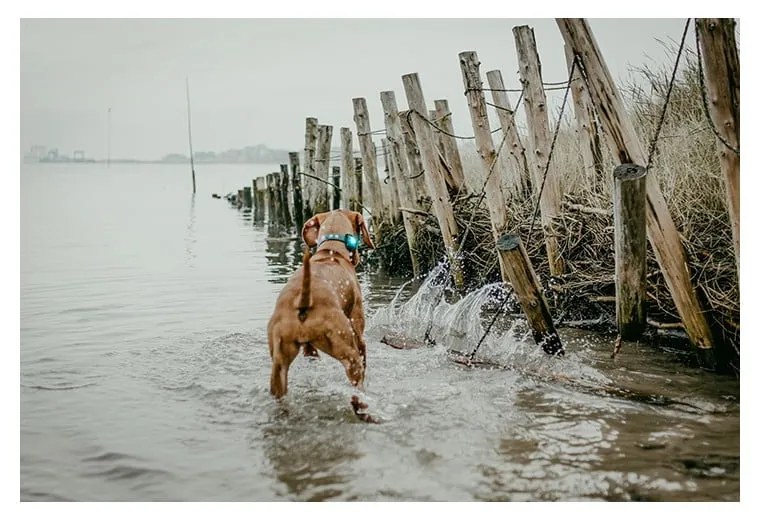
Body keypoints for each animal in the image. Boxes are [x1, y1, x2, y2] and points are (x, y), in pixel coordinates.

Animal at [266, 209, 376, 396]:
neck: (331, 251)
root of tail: (304, 300)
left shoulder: (309, 350)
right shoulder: (357, 326)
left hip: (278, 365)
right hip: (348, 351)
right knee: (357, 375)